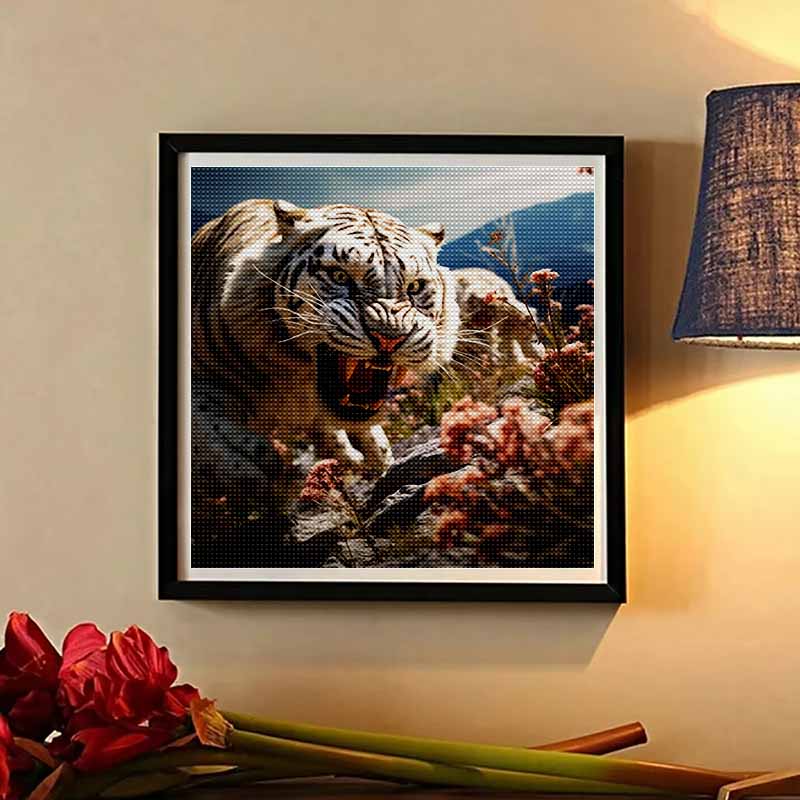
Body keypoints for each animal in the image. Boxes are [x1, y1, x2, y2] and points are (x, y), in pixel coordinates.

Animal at [192, 198, 461, 476]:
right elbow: (210, 424)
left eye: (415, 287)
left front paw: (375, 457)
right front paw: (258, 463)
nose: (389, 338)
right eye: (340, 276)